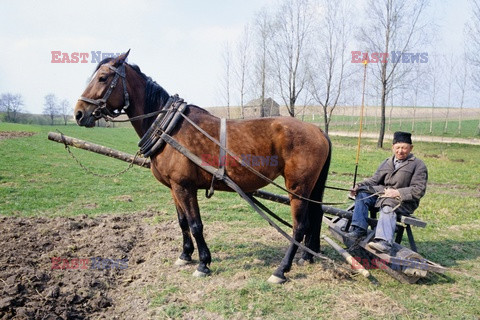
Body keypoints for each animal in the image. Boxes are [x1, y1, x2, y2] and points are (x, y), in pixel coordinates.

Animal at [75, 51, 332, 284]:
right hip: (311, 188)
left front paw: (203, 263)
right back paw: (307, 256)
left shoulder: (185, 186)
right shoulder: (174, 188)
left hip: (297, 187)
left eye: (103, 78)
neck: (168, 129)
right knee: (316, 215)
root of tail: (317, 129)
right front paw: (185, 255)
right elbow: (182, 222)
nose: (78, 113)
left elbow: (195, 224)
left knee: (299, 226)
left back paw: (281, 270)